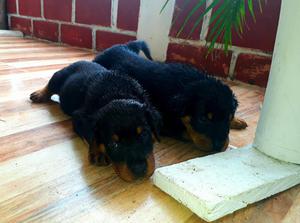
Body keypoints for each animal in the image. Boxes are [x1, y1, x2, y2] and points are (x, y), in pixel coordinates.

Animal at [29, 60, 162, 181]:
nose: (139, 169)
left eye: (144, 134)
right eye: (113, 144)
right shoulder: (79, 118)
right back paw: (39, 94)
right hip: (60, 76)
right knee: (50, 85)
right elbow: (92, 136)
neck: (117, 94)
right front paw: (98, 152)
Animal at [94, 40, 246, 152]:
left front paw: (237, 121)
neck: (187, 83)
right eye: (203, 119)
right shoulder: (164, 122)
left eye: (228, 118)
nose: (220, 146)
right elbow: (186, 133)